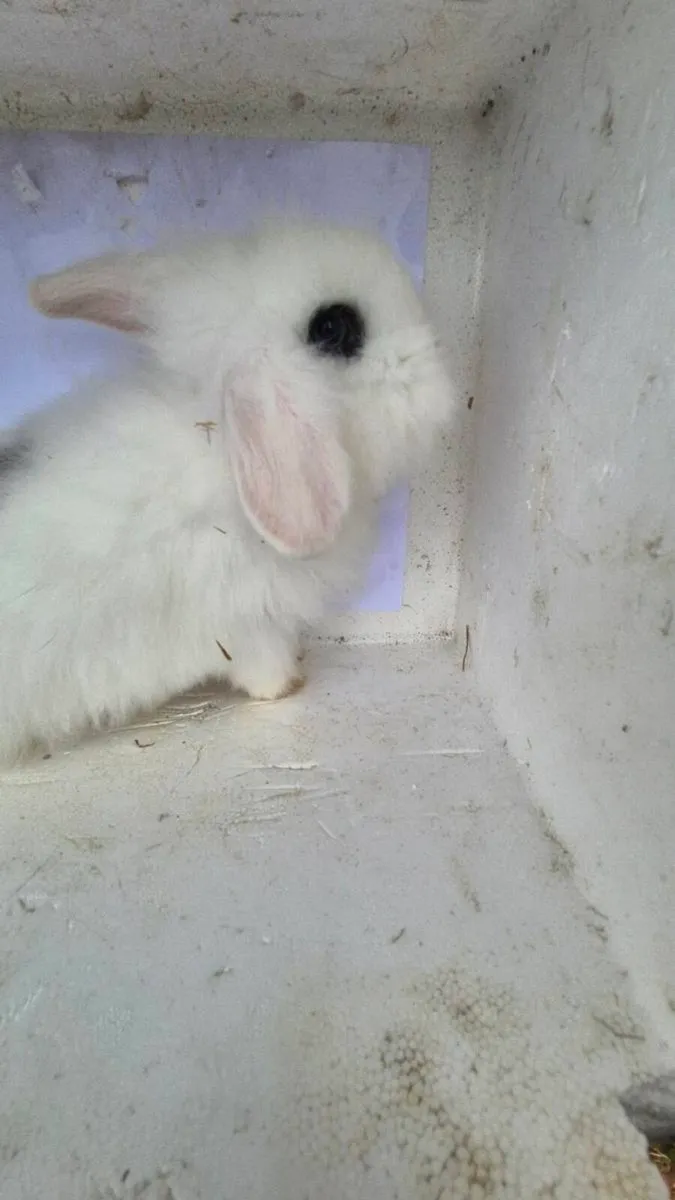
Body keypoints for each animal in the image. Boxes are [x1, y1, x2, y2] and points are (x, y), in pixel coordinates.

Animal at [0, 221, 454, 764]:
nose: (437, 359)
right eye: (333, 328)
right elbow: (265, 672)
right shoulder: (248, 622)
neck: (223, 449)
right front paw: (291, 684)